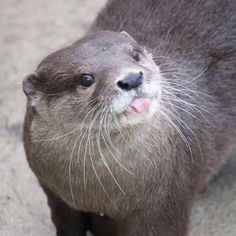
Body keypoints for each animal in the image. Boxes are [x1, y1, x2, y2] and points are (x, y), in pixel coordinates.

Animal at [22, 0, 236, 236]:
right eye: (86, 79)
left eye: (135, 55)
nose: (132, 78)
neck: (99, 188)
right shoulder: (56, 194)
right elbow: (68, 225)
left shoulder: (166, 201)